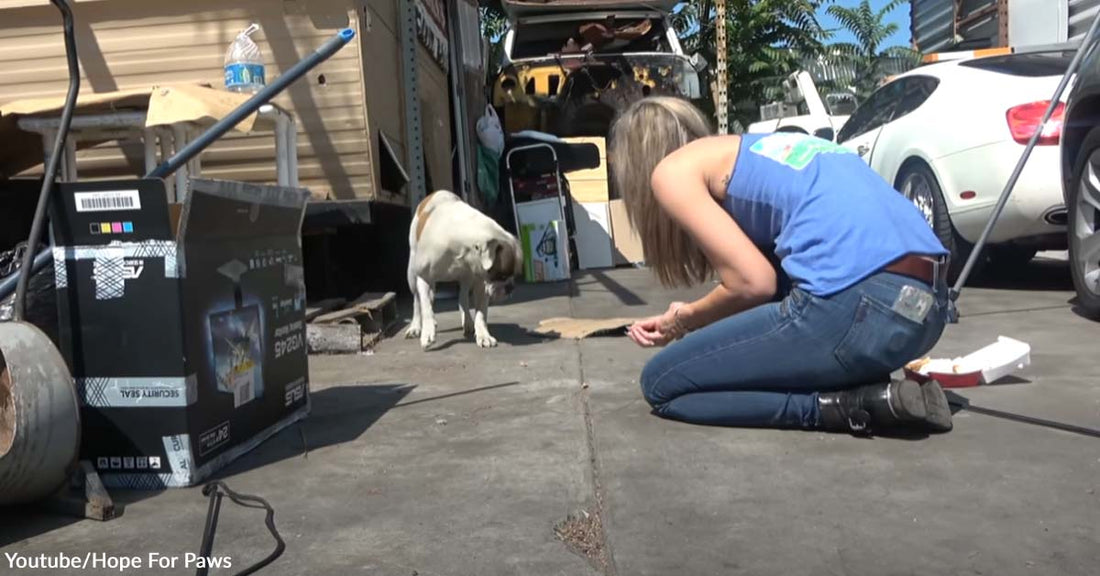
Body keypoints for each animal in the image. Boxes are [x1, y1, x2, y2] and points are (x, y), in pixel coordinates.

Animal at [404, 191, 523, 349]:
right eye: (501, 275)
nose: (510, 287)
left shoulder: (481, 283)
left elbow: (480, 313)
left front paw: (484, 335)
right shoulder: (423, 277)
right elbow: (426, 306)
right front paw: (427, 332)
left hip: (466, 278)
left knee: (463, 296)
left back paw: (467, 321)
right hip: (411, 274)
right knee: (417, 301)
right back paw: (416, 326)